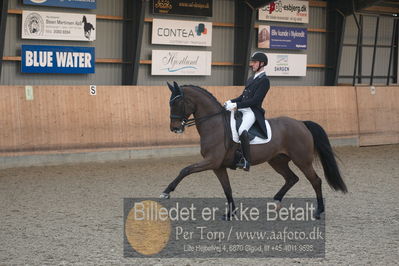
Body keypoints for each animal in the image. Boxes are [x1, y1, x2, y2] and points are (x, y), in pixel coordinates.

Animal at [161, 82, 348, 219]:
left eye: (177, 103)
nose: (174, 128)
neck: (214, 124)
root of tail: (301, 123)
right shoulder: (218, 166)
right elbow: (227, 188)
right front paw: (231, 213)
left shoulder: (211, 161)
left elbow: (185, 170)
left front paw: (166, 192)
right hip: (277, 160)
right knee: (291, 178)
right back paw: (275, 202)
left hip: (302, 160)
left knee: (315, 181)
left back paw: (318, 211)